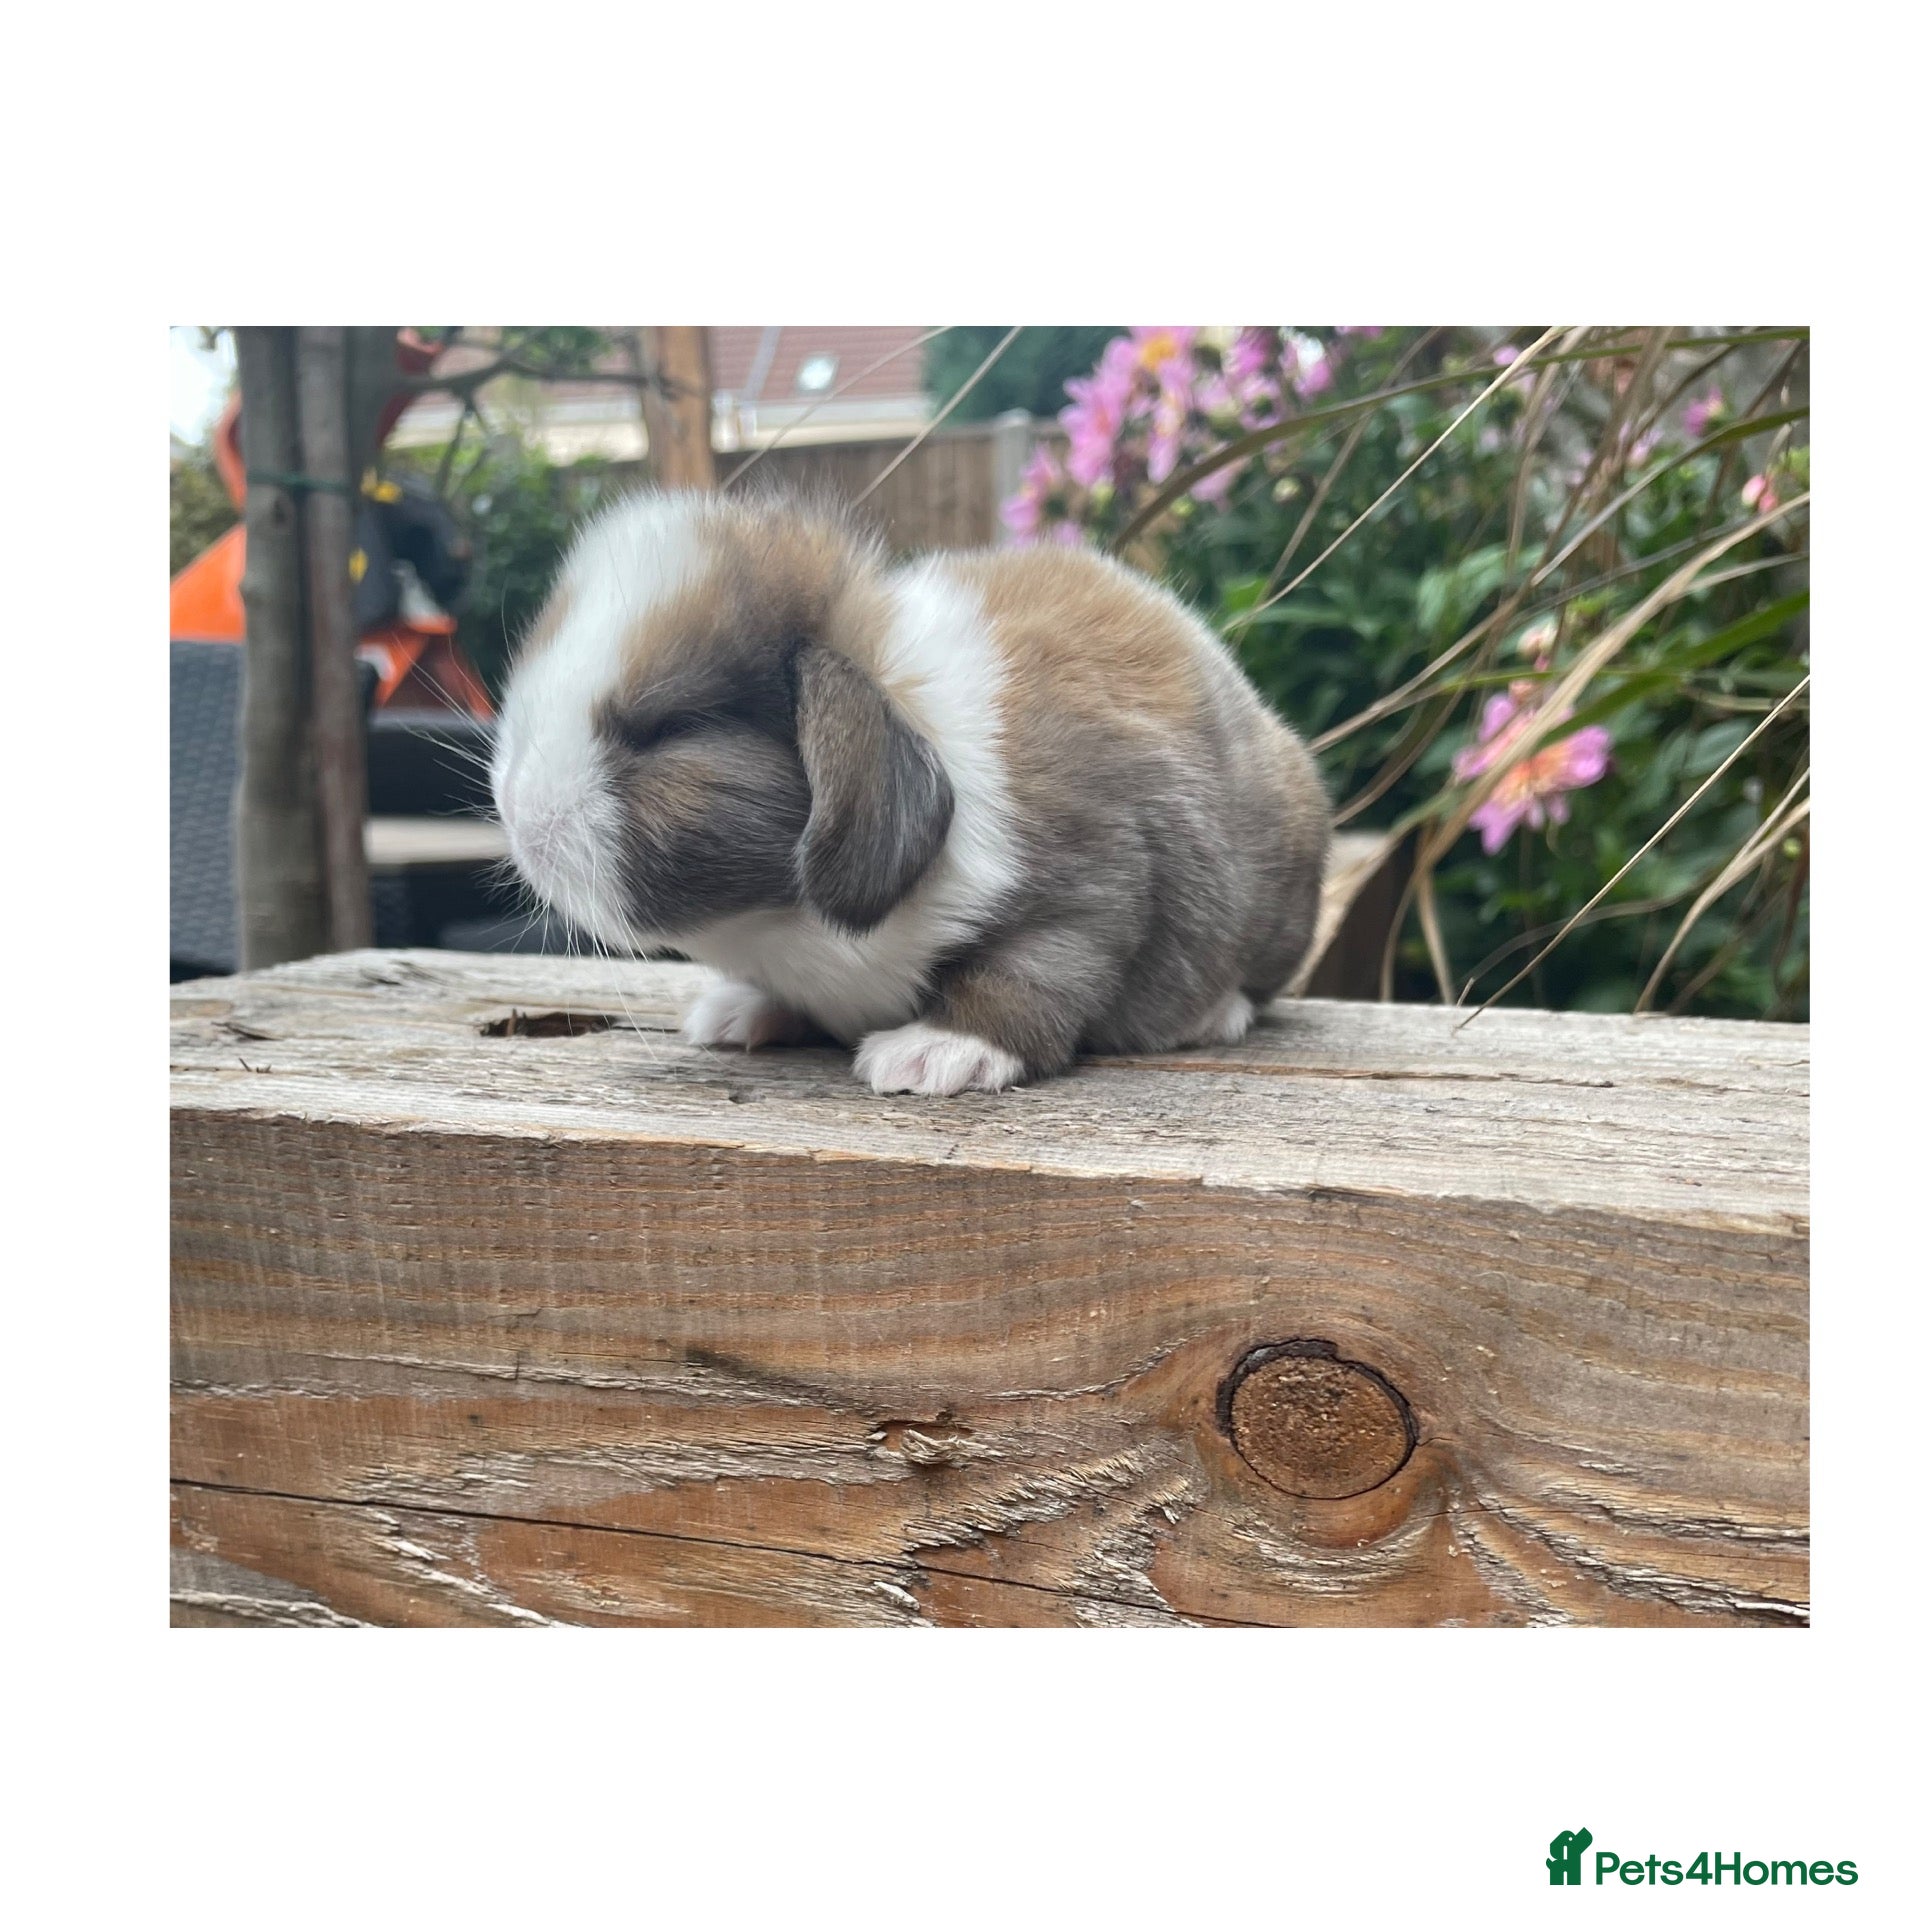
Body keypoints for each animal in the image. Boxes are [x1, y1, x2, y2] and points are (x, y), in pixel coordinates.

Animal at [490, 486, 1330, 1095]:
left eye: (670, 727)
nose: (518, 811)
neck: (780, 930)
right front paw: (733, 1012)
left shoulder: (1092, 893)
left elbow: (1024, 979)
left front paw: (929, 1058)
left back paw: (1215, 1015)